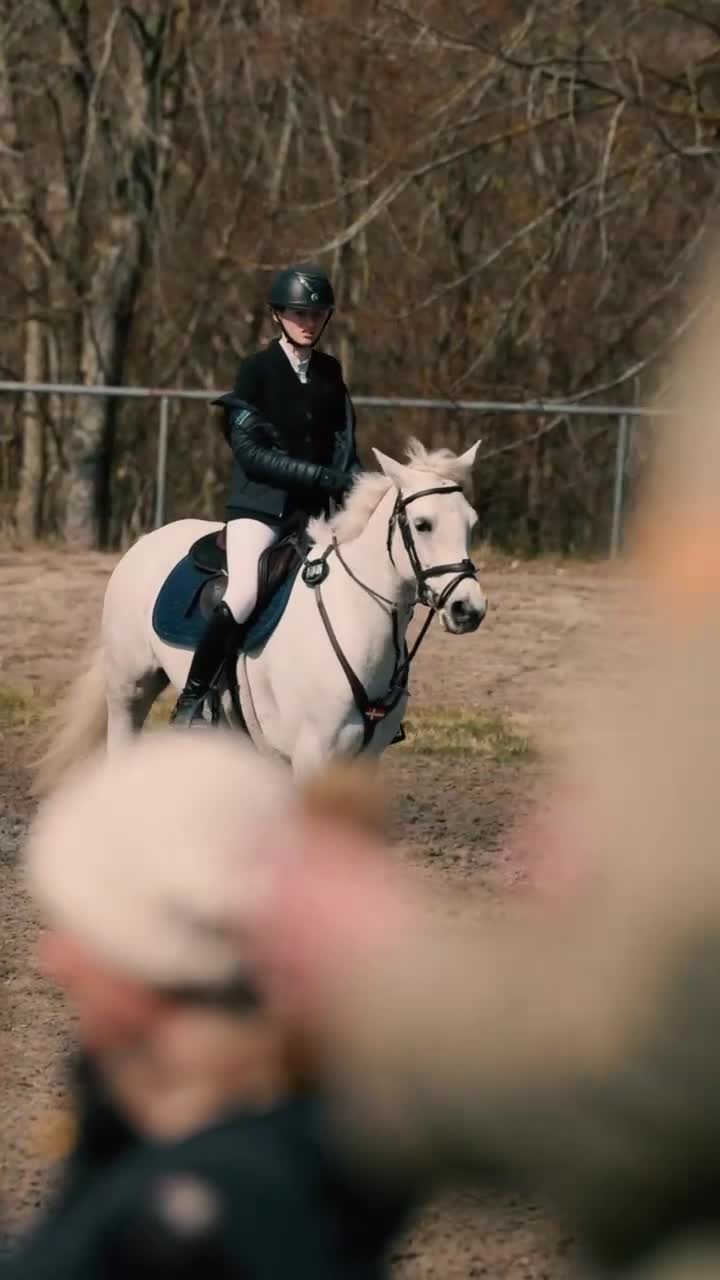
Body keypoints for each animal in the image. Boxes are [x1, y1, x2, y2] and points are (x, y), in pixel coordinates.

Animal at [37, 439, 487, 789]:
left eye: (471, 523)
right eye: (423, 524)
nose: (468, 609)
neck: (355, 615)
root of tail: (145, 542)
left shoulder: (364, 760)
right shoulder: (314, 755)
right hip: (129, 689)